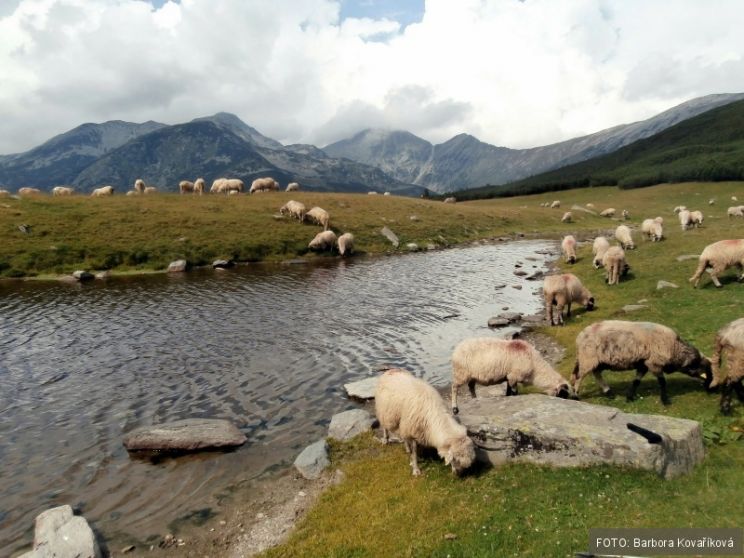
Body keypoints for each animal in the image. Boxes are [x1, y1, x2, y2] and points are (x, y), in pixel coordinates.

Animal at [448, 336, 576, 416]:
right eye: (564, 394)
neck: (535, 367)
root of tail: (456, 349)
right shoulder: (514, 376)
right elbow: (514, 393)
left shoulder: (509, 377)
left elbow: (508, 392)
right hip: (461, 373)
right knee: (454, 387)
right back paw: (455, 409)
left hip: (472, 376)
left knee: (471, 387)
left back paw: (475, 399)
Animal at [572, 320, 712, 406]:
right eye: (701, 366)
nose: (709, 387)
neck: (674, 348)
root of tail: (579, 337)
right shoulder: (654, 363)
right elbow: (662, 382)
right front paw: (665, 400)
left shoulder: (644, 364)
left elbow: (636, 381)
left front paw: (629, 397)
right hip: (588, 358)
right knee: (579, 377)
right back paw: (575, 397)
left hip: (596, 361)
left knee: (596, 373)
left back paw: (609, 393)